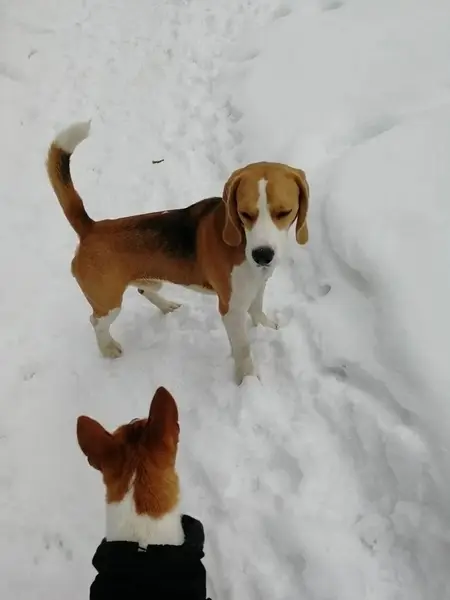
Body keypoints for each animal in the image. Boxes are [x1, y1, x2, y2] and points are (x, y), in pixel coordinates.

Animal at [47, 122, 309, 383]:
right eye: (245, 213)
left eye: (284, 212)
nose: (262, 255)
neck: (241, 239)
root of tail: (91, 228)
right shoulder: (231, 309)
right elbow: (243, 350)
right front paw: (248, 380)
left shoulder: (257, 285)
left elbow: (257, 309)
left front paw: (266, 327)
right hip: (108, 302)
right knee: (96, 321)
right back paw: (108, 347)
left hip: (150, 280)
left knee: (144, 290)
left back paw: (166, 306)